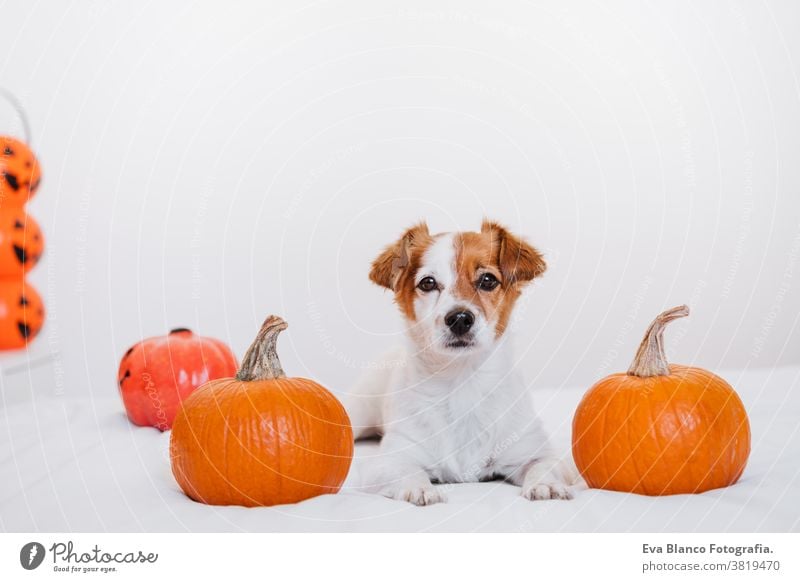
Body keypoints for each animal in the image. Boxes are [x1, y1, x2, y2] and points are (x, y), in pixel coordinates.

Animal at [346, 220, 580, 506]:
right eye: (428, 283)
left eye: (488, 280)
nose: (459, 318)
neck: (462, 382)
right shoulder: (387, 460)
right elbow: (407, 471)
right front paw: (419, 488)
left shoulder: (534, 449)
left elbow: (543, 465)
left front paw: (546, 484)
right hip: (357, 411)